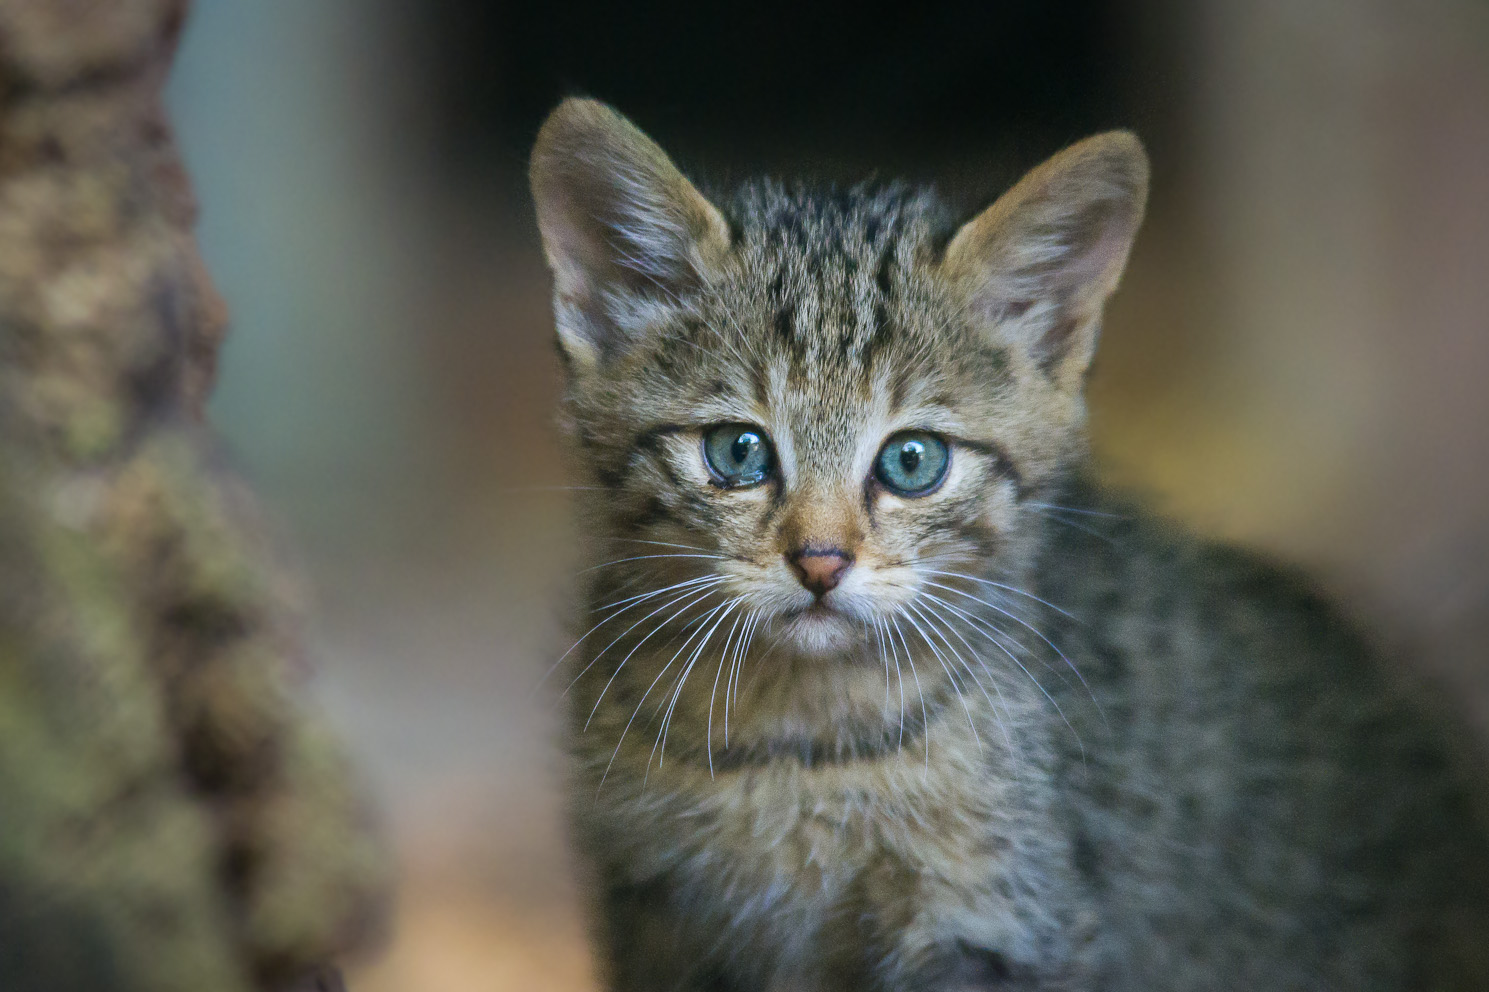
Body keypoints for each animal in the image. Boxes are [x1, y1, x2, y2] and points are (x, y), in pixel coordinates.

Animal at [527, 94, 1489, 989]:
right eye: (737, 452)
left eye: (912, 461)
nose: (820, 561)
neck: (797, 739)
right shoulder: (649, 914)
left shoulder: (1000, 920)